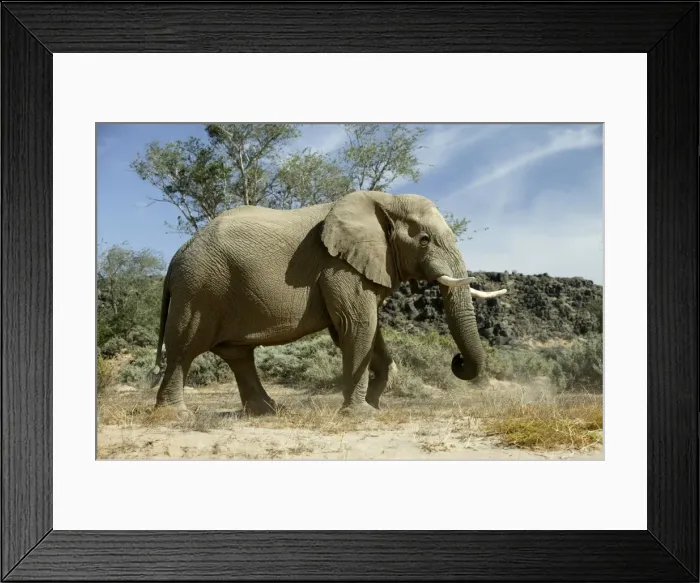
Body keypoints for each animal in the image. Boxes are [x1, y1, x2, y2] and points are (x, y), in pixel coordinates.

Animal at [149, 189, 507, 417]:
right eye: (424, 240)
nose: (457, 361)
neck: (384, 200)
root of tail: (175, 258)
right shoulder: (338, 266)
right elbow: (357, 325)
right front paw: (361, 413)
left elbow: (366, 332)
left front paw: (374, 406)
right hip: (199, 289)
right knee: (184, 349)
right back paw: (176, 416)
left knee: (238, 355)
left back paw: (269, 412)